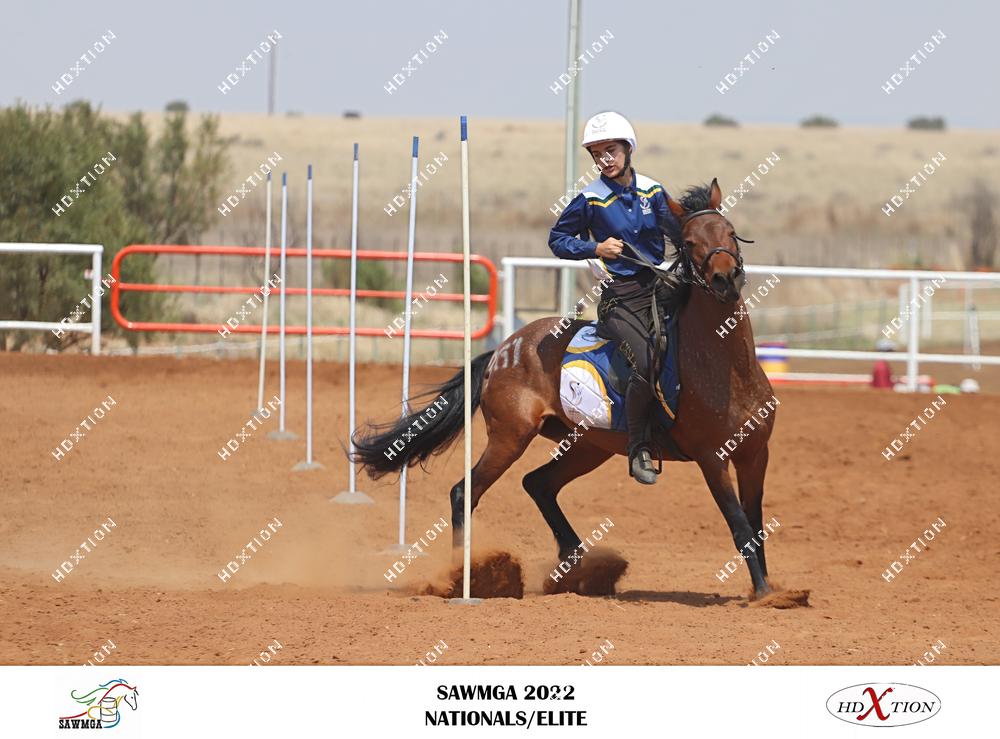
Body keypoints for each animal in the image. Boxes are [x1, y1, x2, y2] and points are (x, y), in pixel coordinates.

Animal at [353, 179, 786, 601]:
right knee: (465, 492)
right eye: (691, 241)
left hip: (588, 445)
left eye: (729, 231)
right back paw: (465, 576)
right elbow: (740, 525)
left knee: (538, 484)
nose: (724, 279)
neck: (727, 369)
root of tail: (503, 351)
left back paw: (580, 566)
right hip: (511, 437)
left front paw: (767, 586)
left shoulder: (756, 456)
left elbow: (757, 525)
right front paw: (766, 594)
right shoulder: (713, 460)